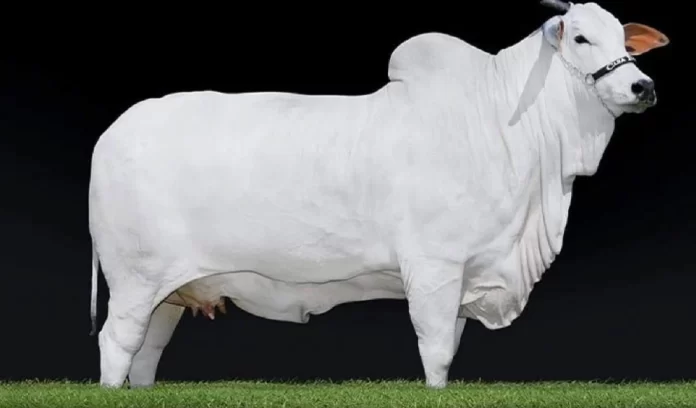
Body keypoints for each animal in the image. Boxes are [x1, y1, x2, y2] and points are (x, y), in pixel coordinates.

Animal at [87, 0, 669, 389]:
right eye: (581, 39)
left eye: (625, 41)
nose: (642, 87)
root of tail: (112, 132)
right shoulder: (434, 267)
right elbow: (436, 351)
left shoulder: (467, 274)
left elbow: (451, 345)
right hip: (134, 280)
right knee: (117, 345)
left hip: (169, 292)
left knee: (147, 353)